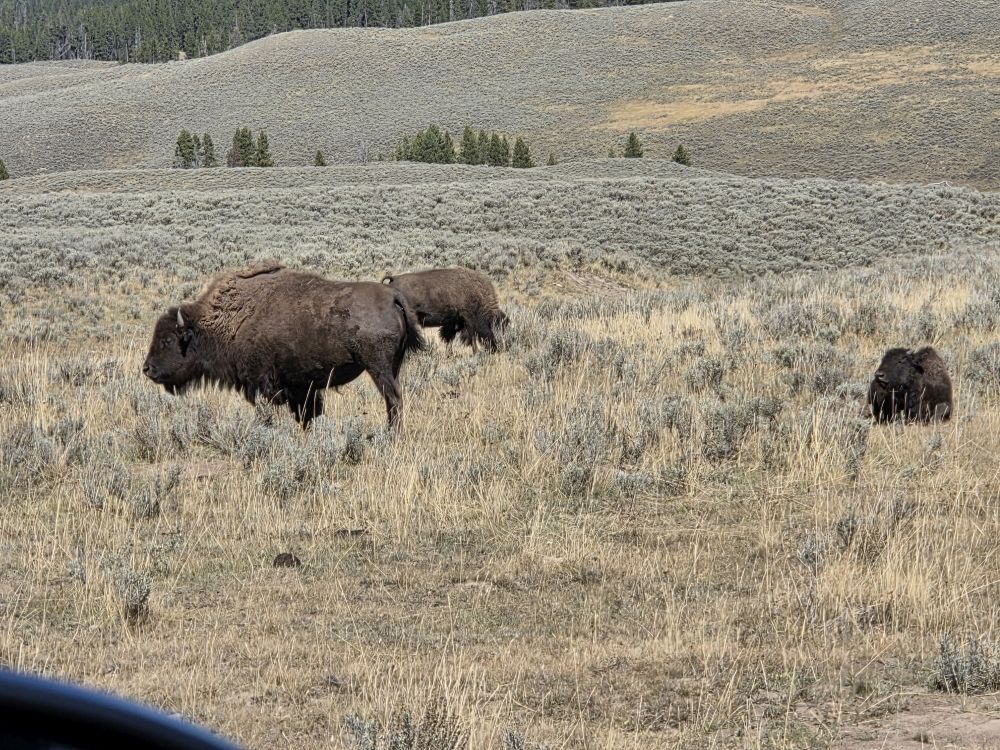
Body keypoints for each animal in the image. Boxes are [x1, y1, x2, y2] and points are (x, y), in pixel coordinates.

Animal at [143, 262, 425, 429]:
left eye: (168, 340)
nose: (147, 369)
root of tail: (393, 297)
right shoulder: (299, 387)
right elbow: (307, 414)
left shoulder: (263, 383)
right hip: (393, 365)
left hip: (378, 367)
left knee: (393, 398)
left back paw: (391, 435)